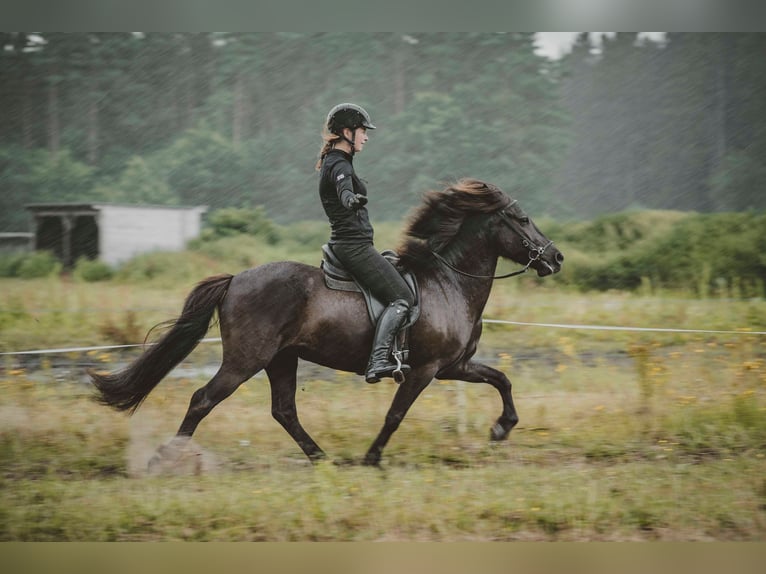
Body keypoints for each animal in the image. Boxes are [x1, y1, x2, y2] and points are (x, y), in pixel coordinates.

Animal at [91, 180, 564, 468]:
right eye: (523, 219)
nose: (556, 258)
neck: (449, 282)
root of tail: (235, 279)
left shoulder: (454, 367)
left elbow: (501, 379)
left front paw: (502, 428)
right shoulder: (426, 370)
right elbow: (395, 414)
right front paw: (371, 459)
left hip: (281, 359)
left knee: (283, 410)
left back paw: (322, 459)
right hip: (246, 360)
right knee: (202, 400)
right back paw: (166, 458)